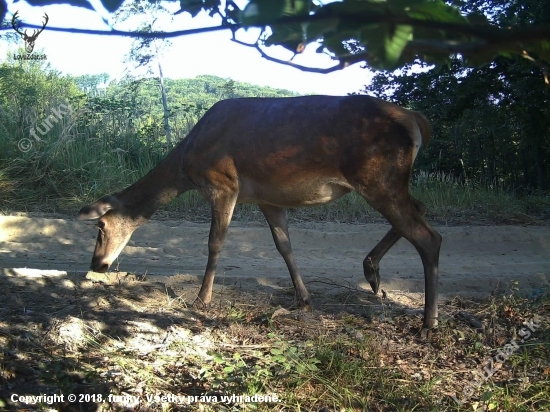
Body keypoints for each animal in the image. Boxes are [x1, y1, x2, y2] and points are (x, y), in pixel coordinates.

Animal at [80, 96, 444, 332]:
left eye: (101, 225)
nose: (96, 264)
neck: (186, 165)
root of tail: (417, 119)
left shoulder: (223, 183)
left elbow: (215, 243)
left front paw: (201, 300)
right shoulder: (269, 198)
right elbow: (284, 245)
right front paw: (303, 299)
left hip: (377, 176)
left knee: (428, 235)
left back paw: (428, 321)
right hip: (387, 180)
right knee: (421, 209)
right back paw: (372, 271)